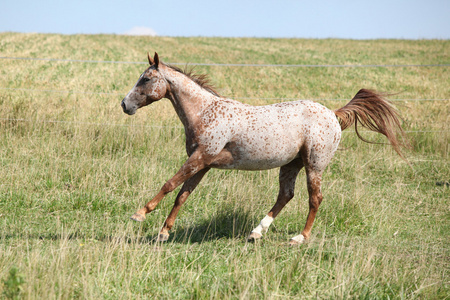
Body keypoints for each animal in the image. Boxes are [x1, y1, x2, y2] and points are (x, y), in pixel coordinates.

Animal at [120, 52, 408, 245]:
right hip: (291, 164)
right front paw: (163, 232)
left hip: (314, 165)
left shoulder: (200, 158)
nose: (125, 105)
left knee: (315, 198)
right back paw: (256, 232)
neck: (205, 112)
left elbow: (169, 185)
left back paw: (299, 238)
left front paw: (139, 215)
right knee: (286, 195)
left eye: (146, 78)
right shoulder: (203, 163)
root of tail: (334, 114)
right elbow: (182, 195)